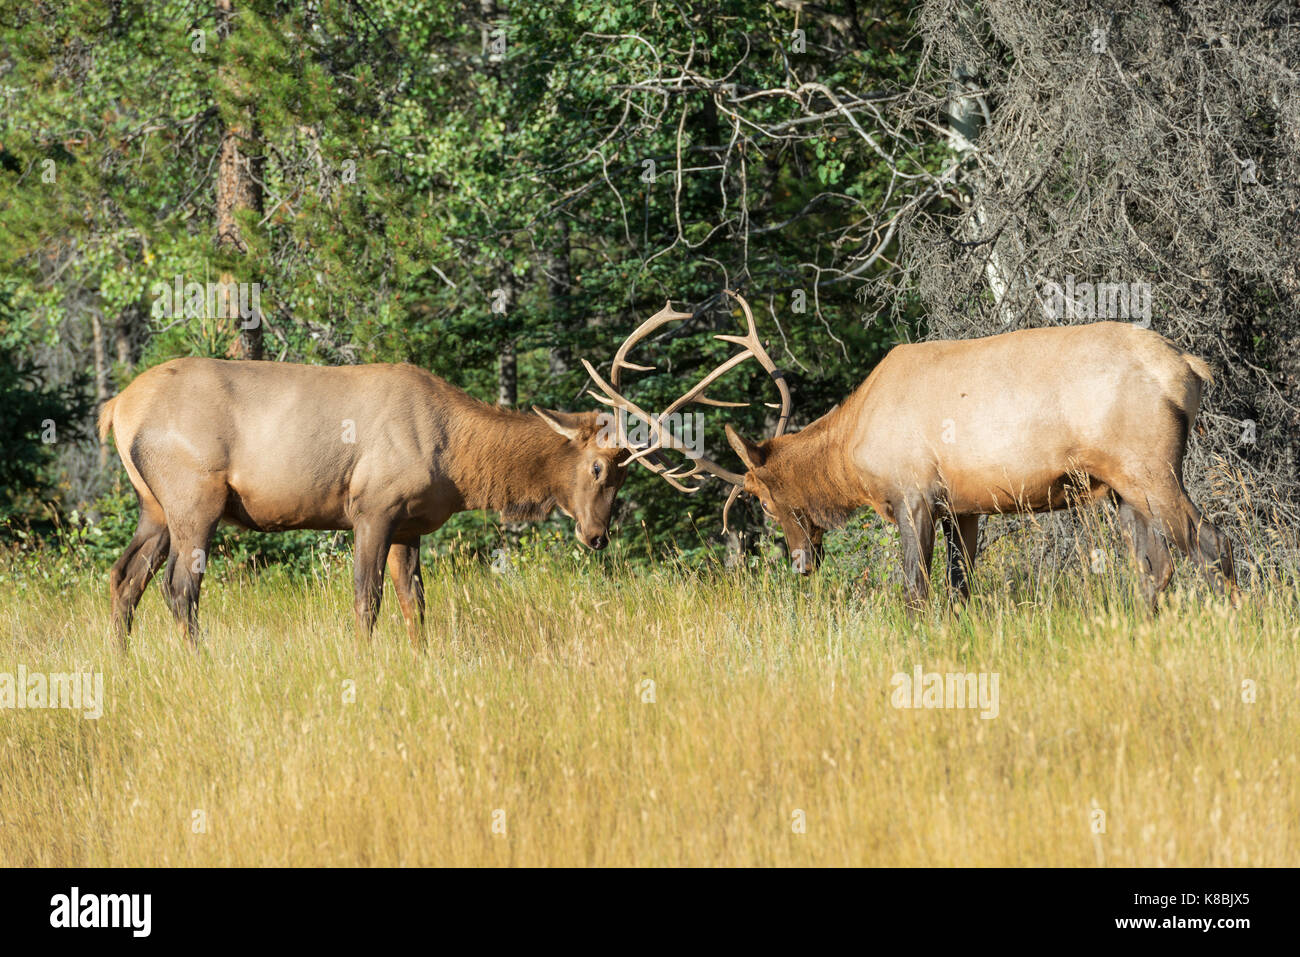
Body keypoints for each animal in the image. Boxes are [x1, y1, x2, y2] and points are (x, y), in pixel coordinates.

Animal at [98, 361, 631, 650]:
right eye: (598, 468)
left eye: (626, 474)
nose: (597, 535)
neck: (456, 462)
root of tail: (116, 408)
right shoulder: (373, 508)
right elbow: (367, 599)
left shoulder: (409, 526)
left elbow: (415, 603)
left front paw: (421, 660)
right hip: (194, 500)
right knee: (178, 587)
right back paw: (200, 662)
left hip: (154, 507)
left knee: (125, 576)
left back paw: (122, 663)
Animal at [590, 291, 1237, 608]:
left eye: (767, 502)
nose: (800, 562)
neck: (852, 450)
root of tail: (1189, 369)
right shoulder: (965, 506)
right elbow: (960, 587)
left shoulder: (913, 492)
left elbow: (915, 590)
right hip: (1121, 487)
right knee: (1155, 564)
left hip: (1148, 464)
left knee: (1211, 543)